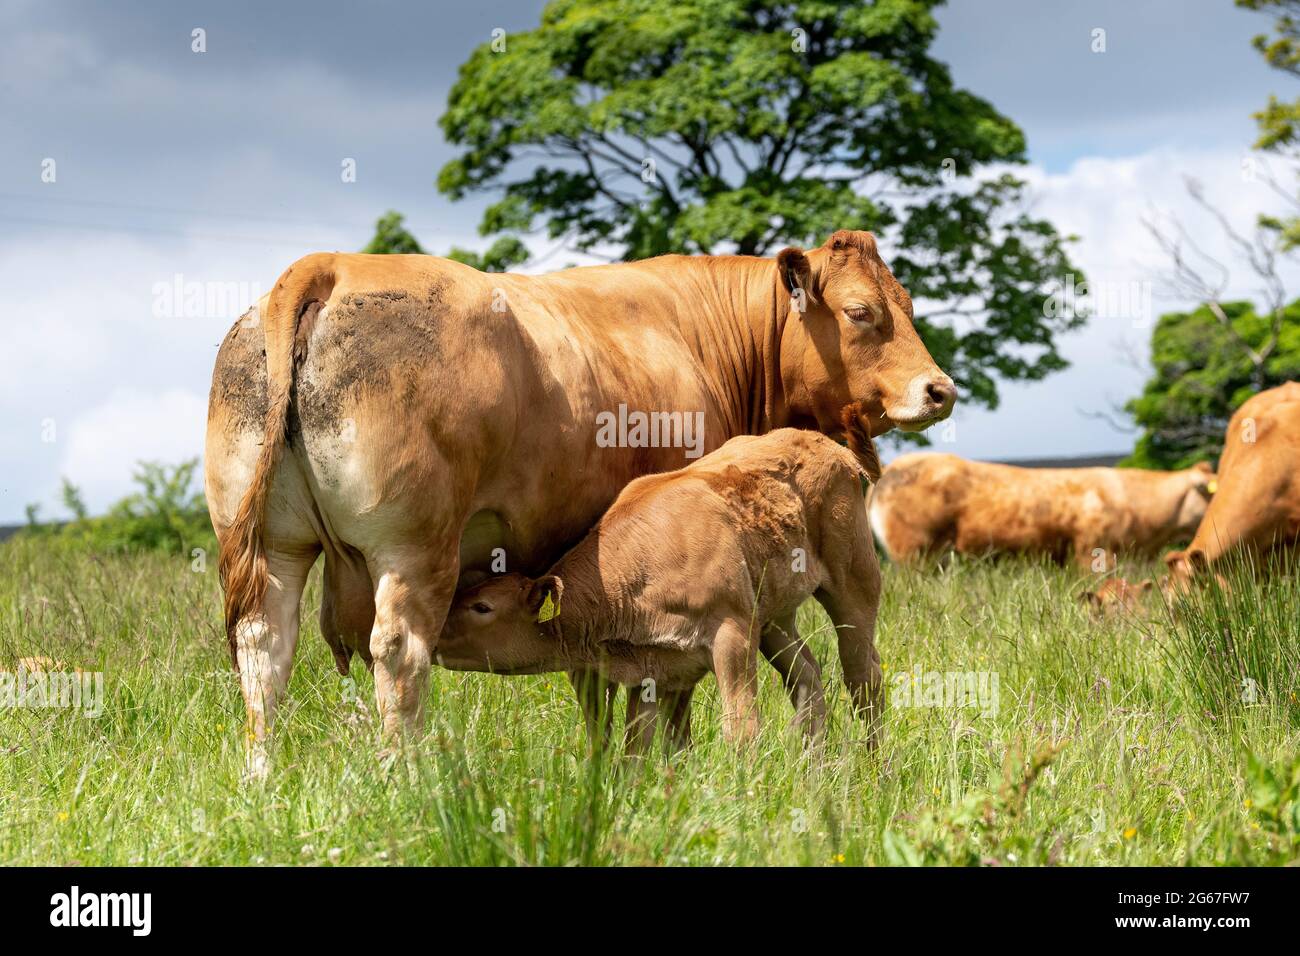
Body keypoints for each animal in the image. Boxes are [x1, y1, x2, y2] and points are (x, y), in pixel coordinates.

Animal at [433, 421, 885, 753]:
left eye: (482, 607)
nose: (434, 635)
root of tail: (829, 446)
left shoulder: (732, 635)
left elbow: (740, 729)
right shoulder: (651, 668)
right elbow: (636, 746)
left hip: (854, 583)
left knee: (864, 676)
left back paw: (872, 767)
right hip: (774, 615)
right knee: (807, 675)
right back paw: (815, 766)